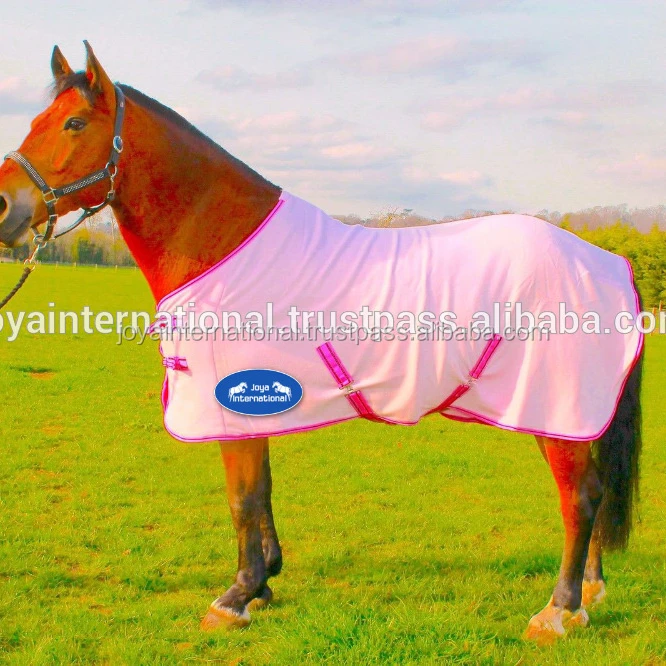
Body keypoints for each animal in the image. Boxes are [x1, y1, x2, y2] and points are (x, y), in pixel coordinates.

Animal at [0, 42, 643, 642]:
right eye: (37, 119)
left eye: (73, 124)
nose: (5, 207)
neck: (224, 242)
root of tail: (606, 263)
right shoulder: (257, 406)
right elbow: (261, 494)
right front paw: (262, 584)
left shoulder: (228, 403)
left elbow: (242, 499)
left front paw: (235, 597)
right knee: (592, 493)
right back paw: (588, 592)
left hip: (553, 404)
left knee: (580, 497)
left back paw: (558, 612)